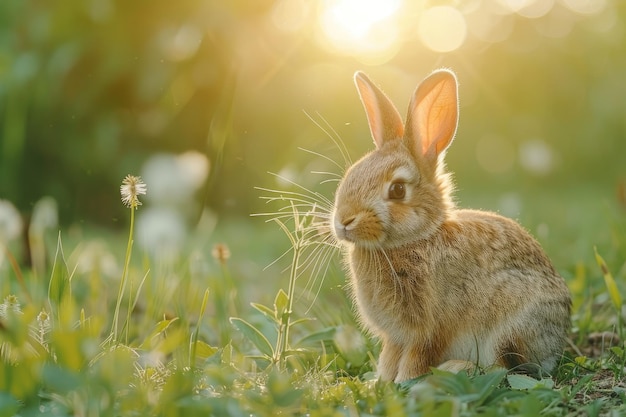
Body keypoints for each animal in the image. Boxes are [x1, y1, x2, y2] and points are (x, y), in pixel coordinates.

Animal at [332, 69, 572, 384]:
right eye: (352, 174)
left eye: (397, 190)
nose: (343, 221)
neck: (416, 239)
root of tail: (557, 341)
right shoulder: (395, 337)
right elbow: (390, 356)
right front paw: (379, 382)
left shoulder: (429, 330)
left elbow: (417, 357)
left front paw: (405, 382)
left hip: (509, 324)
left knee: (502, 368)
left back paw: (455, 369)